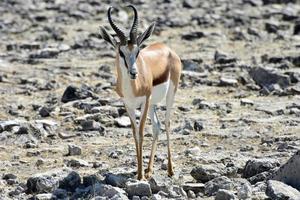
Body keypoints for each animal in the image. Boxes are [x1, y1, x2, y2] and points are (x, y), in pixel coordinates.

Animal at [99, 4, 182, 180]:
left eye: (137, 51)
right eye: (121, 52)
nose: (134, 73)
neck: (133, 88)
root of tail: (166, 48)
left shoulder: (144, 101)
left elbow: (142, 132)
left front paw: (140, 175)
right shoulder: (128, 105)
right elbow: (135, 133)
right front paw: (139, 172)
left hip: (169, 94)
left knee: (166, 123)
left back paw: (170, 170)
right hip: (153, 104)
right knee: (157, 126)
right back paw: (149, 170)